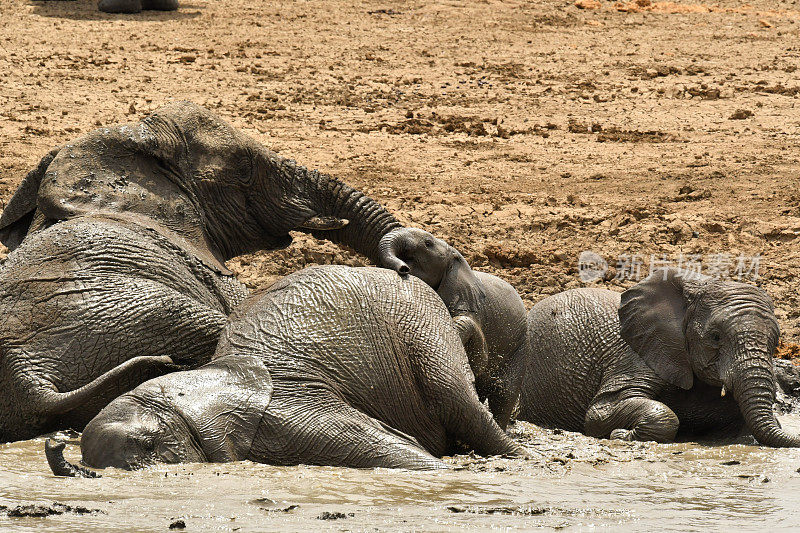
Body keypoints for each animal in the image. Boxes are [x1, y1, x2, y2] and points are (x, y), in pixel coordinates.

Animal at [47, 266, 528, 474]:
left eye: (149, 446)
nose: (56, 445)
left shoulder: (287, 407)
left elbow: (400, 453)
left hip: (419, 321)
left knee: (456, 397)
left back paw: (523, 459)